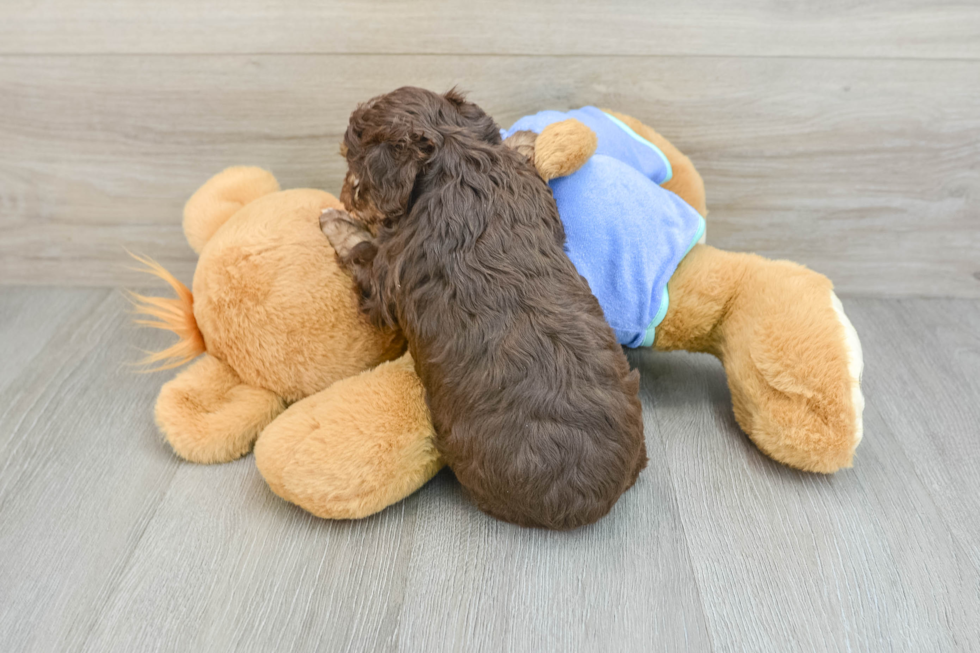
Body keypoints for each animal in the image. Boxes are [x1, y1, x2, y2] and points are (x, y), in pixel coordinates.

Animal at [320, 86, 644, 528]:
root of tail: (596, 503)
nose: (342, 192)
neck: (453, 155)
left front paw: (335, 221)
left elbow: (362, 251)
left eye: (353, 165)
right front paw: (524, 139)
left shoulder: (387, 275)